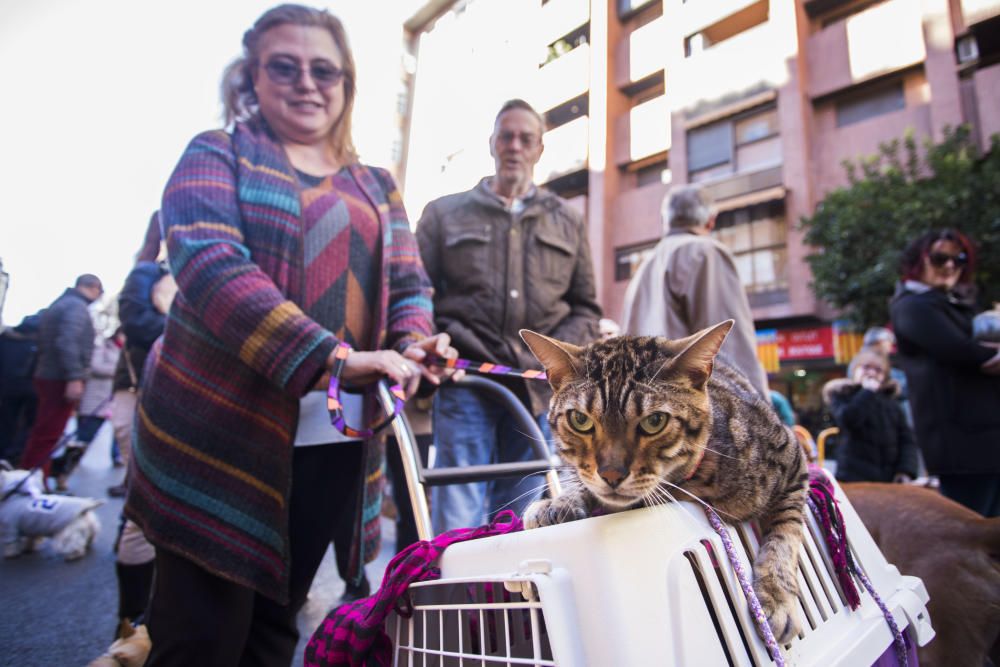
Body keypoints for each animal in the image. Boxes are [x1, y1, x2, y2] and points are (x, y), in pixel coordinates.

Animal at [520, 320, 808, 644]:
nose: (611, 474)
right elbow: (581, 483)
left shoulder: (793, 461)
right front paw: (558, 503)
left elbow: (784, 535)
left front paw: (776, 596)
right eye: (579, 420)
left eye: (654, 421)